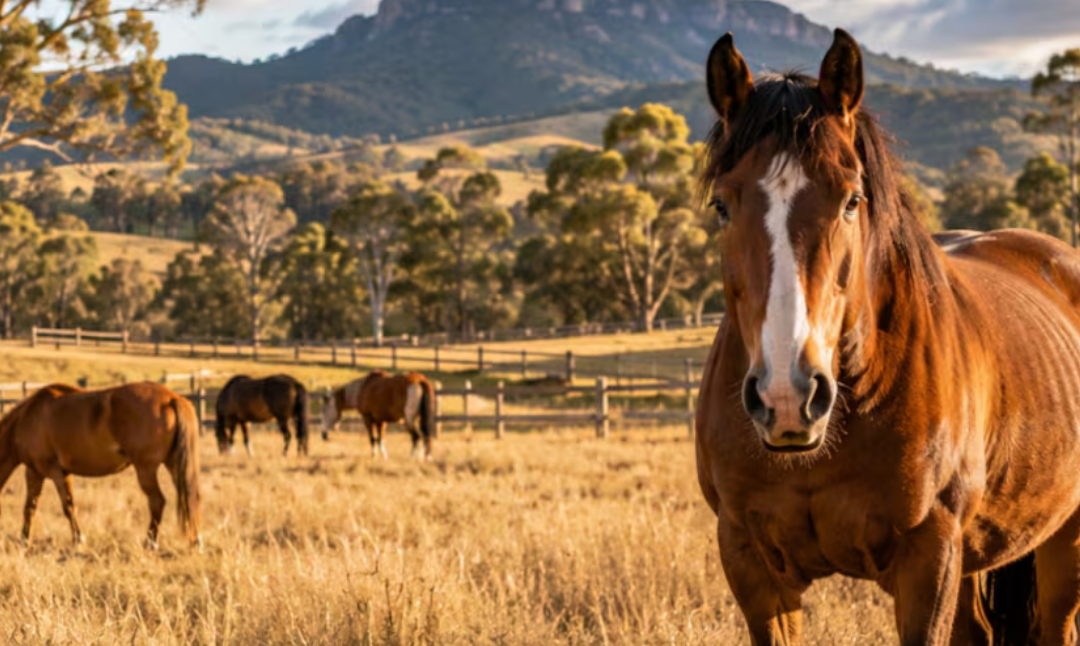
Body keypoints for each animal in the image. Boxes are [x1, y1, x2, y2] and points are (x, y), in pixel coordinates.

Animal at [0, 382, 201, 549]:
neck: (27, 419)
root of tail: (171, 398)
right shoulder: (36, 473)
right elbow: (30, 507)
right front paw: (24, 540)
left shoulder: (56, 473)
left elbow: (67, 506)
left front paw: (78, 540)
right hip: (174, 465)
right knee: (190, 497)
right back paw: (195, 542)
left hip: (146, 470)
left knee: (157, 501)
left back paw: (150, 543)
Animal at [696, 29, 1080, 645]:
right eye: (721, 206)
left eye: (852, 199)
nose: (788, 398)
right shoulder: (751, 563)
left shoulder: (929, 557)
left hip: (1062, 537)